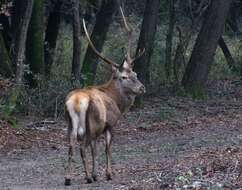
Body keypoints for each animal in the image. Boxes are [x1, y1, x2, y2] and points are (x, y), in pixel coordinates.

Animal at [63, 7, 146, 186]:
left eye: (135, 73)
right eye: (124, 77)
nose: (142, 88)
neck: (116, 101)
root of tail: (76, 101)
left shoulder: (98, 129)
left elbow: (95, 150)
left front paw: (96, 174)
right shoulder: (110, 123)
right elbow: (107, 148)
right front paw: (108, 174)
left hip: (71, 124)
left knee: (71, 147)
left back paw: (68, 178)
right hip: (91, 123)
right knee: (82, 147)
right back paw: (87, 177)